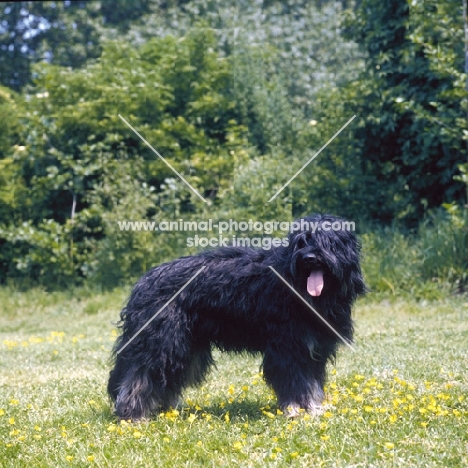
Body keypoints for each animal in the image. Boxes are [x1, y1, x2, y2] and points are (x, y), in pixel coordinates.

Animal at [107, 214, 366, 418]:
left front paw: (313, 408)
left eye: (328, 242)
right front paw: (297, 410)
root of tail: (145, 280)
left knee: (167, 376)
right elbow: (296, 380)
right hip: (164, 341)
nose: (309, 258)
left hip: (186, 346)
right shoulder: (288, 347)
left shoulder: (314, 348)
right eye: (301, 242)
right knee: (140, 374)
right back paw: (133, 413)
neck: (300, 289)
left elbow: (312, 382)